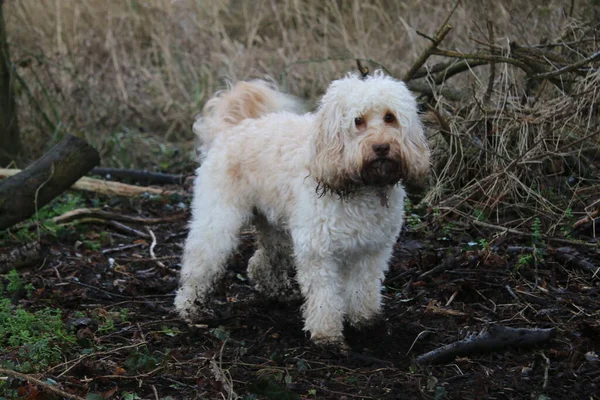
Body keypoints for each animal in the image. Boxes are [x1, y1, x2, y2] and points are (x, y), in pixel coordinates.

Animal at [175, 70, 432, 346]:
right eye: (358, 121)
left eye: (389, 117)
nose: (382, 147)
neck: (361, 186)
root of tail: (233, 127)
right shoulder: (317, 249)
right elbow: (324, 296)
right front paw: (327, 335)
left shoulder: (372, 250)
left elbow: (363, 288)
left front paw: (365, 321)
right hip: (219, 219)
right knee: (199, 261)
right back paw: (191, 308)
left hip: (277, 227)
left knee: (259, 263)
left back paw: (279, 291)